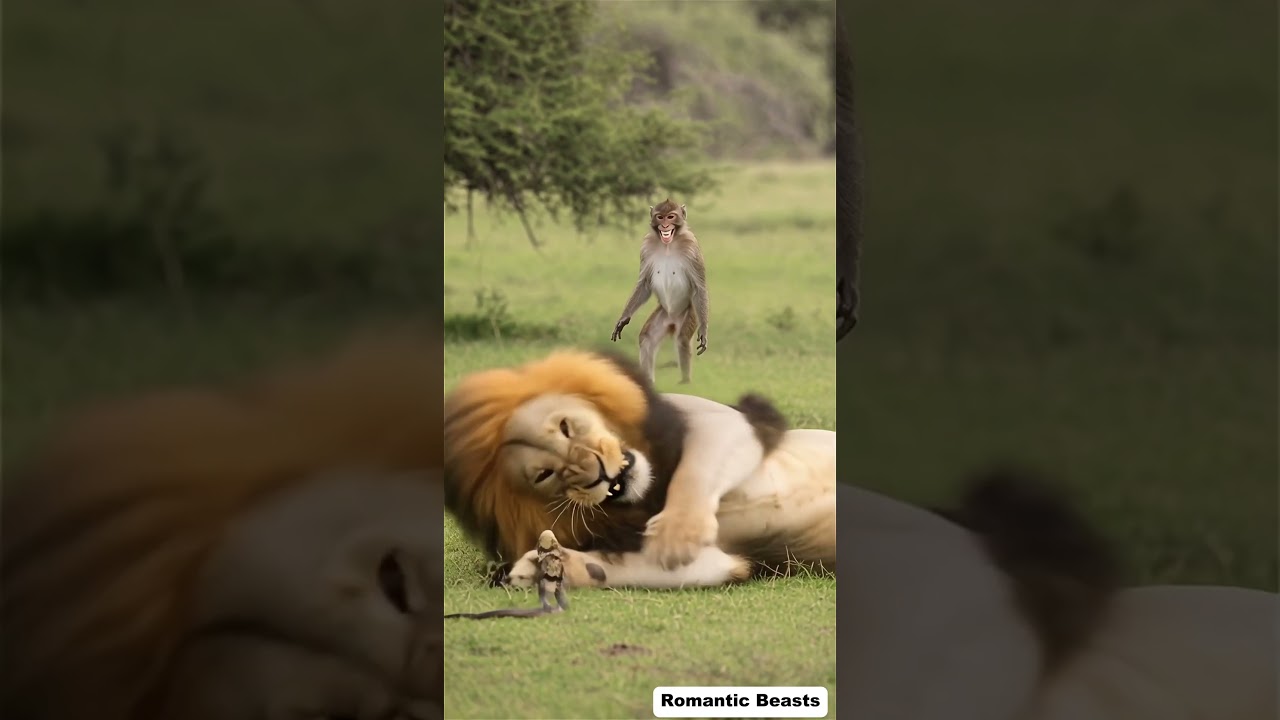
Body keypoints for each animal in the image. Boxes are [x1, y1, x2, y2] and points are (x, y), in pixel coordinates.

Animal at [610, 199, 709, 384]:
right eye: (660, 217)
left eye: (671, 217)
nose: (664, 225)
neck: (668, 245)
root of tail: (672, 319)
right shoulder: (646, 246)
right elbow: (644, 284)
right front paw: (623, 320)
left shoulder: (691, 245)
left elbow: (699, 286)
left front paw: (704, 331)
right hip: (662, 314)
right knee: (647, 339)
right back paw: (648, 381)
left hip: (690, 312)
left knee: (682, 340)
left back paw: (685, 382)